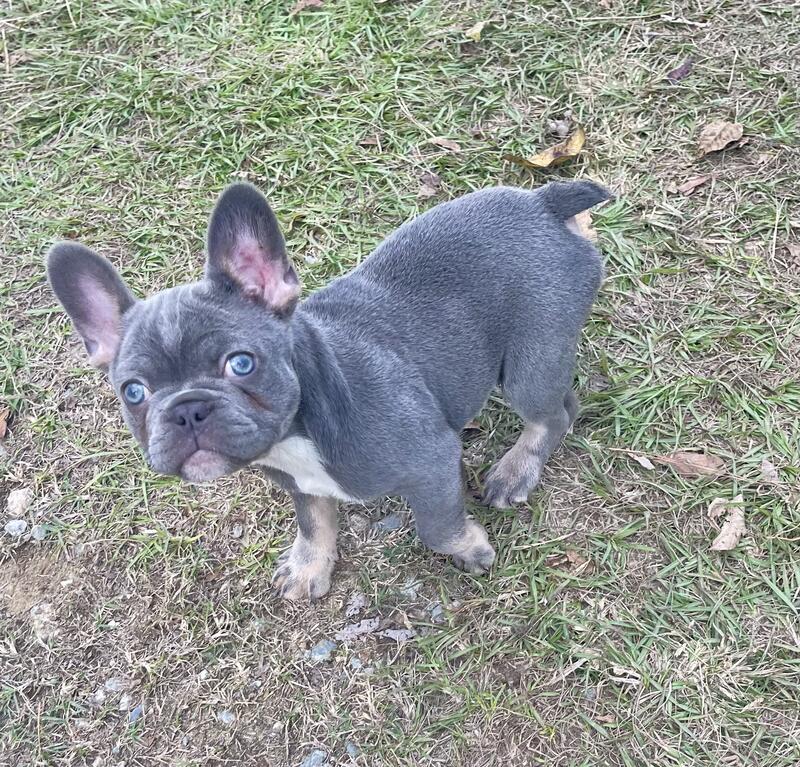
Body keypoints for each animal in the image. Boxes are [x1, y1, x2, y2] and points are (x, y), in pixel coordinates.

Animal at [47, 179, 612, 600]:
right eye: (133, 392)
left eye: (241, 363)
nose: (187, 410)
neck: (300, 427)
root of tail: (542, 202)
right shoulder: (302, 484)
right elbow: (314, 522)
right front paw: (308, 567)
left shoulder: (431, 460)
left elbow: (435, 525)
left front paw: (469, 547)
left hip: (529, 363)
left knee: (557, 412)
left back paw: (516, 471)